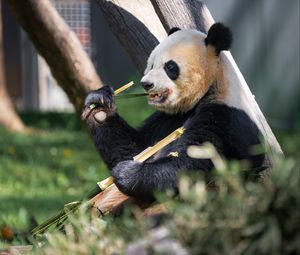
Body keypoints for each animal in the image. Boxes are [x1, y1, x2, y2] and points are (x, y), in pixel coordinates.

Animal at [82, 22, 268, 199]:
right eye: (151, 64)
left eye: (170, 67)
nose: (146, 84)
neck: (212, 85)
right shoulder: (168, 118)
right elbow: (136, 148)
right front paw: (99, 104)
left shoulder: (225, 118)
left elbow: (194, 162)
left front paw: (128, 173)